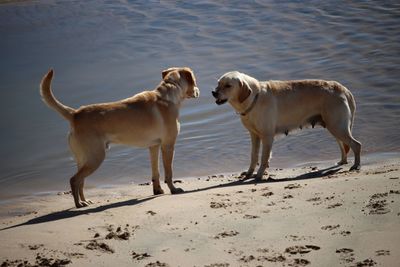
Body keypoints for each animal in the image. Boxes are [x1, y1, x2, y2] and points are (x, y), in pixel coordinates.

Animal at [40, 67, 200, 209]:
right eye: (194, 80)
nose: (199, 91)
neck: (169, 93)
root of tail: (75, 114)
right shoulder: (168, 145)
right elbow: (169, 172)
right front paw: (173, 189)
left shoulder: (153, 147)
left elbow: (156, 172)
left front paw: (158, 190)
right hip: (96, 157)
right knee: (74, 180)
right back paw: (78, 204)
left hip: (84, 159)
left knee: (81, 181)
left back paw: (85, 201)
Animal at [214, 71, 360, 180]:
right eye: (218, 84)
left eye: (228, 85)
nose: (213, 92)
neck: (254, 98)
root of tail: (344, 89)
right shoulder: (254, 135)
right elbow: (254, 156)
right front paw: (249, 173)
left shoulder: (267, 136)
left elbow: (264, 158)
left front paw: (259, 175)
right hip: (335, 127)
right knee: (343, 146)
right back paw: (342, 162)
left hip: (337, 126)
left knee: (356, 144)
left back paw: (356, 166)